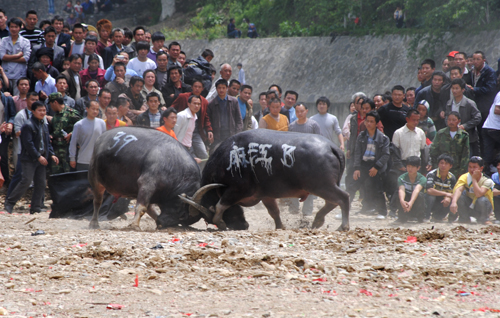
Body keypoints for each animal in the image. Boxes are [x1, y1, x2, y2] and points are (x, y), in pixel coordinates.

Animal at [89, 127, 249, 231]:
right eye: (183, 215)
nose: (162, 223)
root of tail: (101, 138)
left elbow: (148, 208)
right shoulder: (147, 183)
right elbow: (141, 207)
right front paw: (134, 225)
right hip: (95, 179)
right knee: (97, 202)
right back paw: (94, 223)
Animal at [182, 129, 350, 231]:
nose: (244, 225)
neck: (228, 159)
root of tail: (331, 147)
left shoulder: (237, 190)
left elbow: (220, 205)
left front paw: (220, 221)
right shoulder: (266, 195)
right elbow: (274, 212)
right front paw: (280, 227)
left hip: (321, 186)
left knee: (343, 198)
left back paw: (343, 226)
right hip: (323, 186)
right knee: (332, 202)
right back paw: (317, 221)